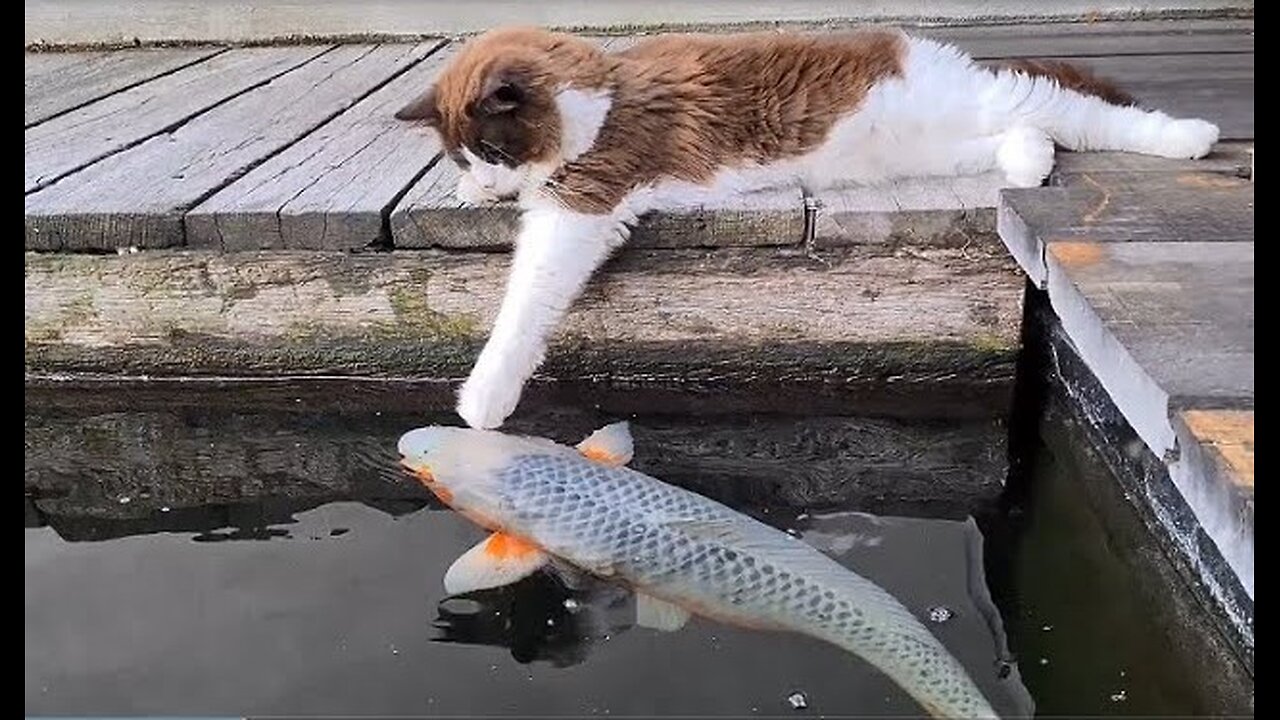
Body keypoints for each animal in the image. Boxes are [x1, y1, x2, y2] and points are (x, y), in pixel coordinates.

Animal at [396, 26, 1218, 430]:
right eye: (463, 157)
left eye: (492, 150)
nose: (485, 185)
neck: (600, 96)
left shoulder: (584, 202)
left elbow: (524, 302)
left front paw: (484, 398)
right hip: (924, 145)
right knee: (1025, 132)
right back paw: (1029, 156)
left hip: (973, 103)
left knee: (1077, 111)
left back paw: (1190, 136)